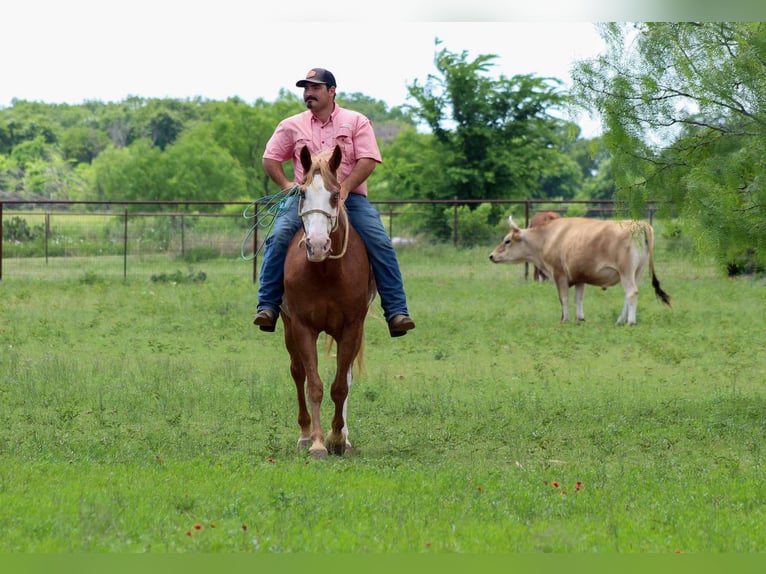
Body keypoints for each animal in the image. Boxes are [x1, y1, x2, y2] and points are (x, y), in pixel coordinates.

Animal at [280, 144, 376, 459]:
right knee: (297, 372)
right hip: (287, 326)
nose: (318, 245)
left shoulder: (352, 327)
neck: (325, 271)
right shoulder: (302, 326)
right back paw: (304, 434)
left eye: (335, 195)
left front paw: (337, 438)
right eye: (302, 194)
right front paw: (318, 443)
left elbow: (340, 386)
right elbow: (314, 385)